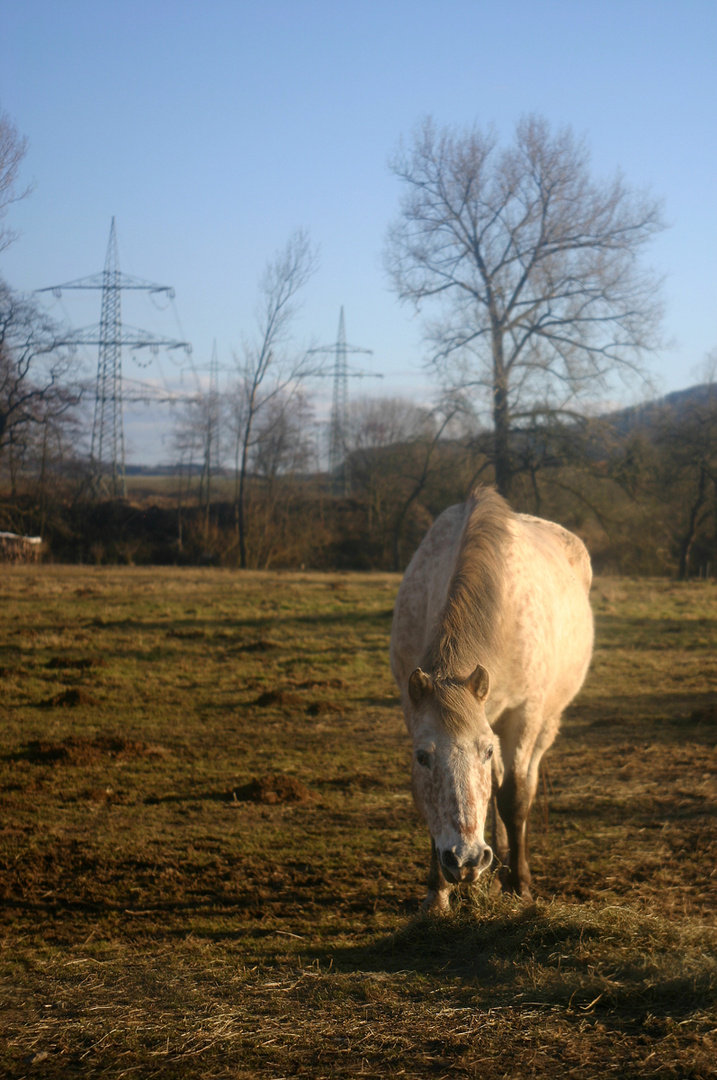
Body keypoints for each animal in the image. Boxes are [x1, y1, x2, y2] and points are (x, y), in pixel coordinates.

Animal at [393, 486, 591, 915]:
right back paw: (496, 868)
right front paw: (437, 894)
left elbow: (513, 796)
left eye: (482, 752)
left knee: (520, 784)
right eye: (422, 757)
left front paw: (522, 887)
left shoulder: (523, 715)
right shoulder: (412, 706)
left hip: (543, 724)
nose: (465, 859)